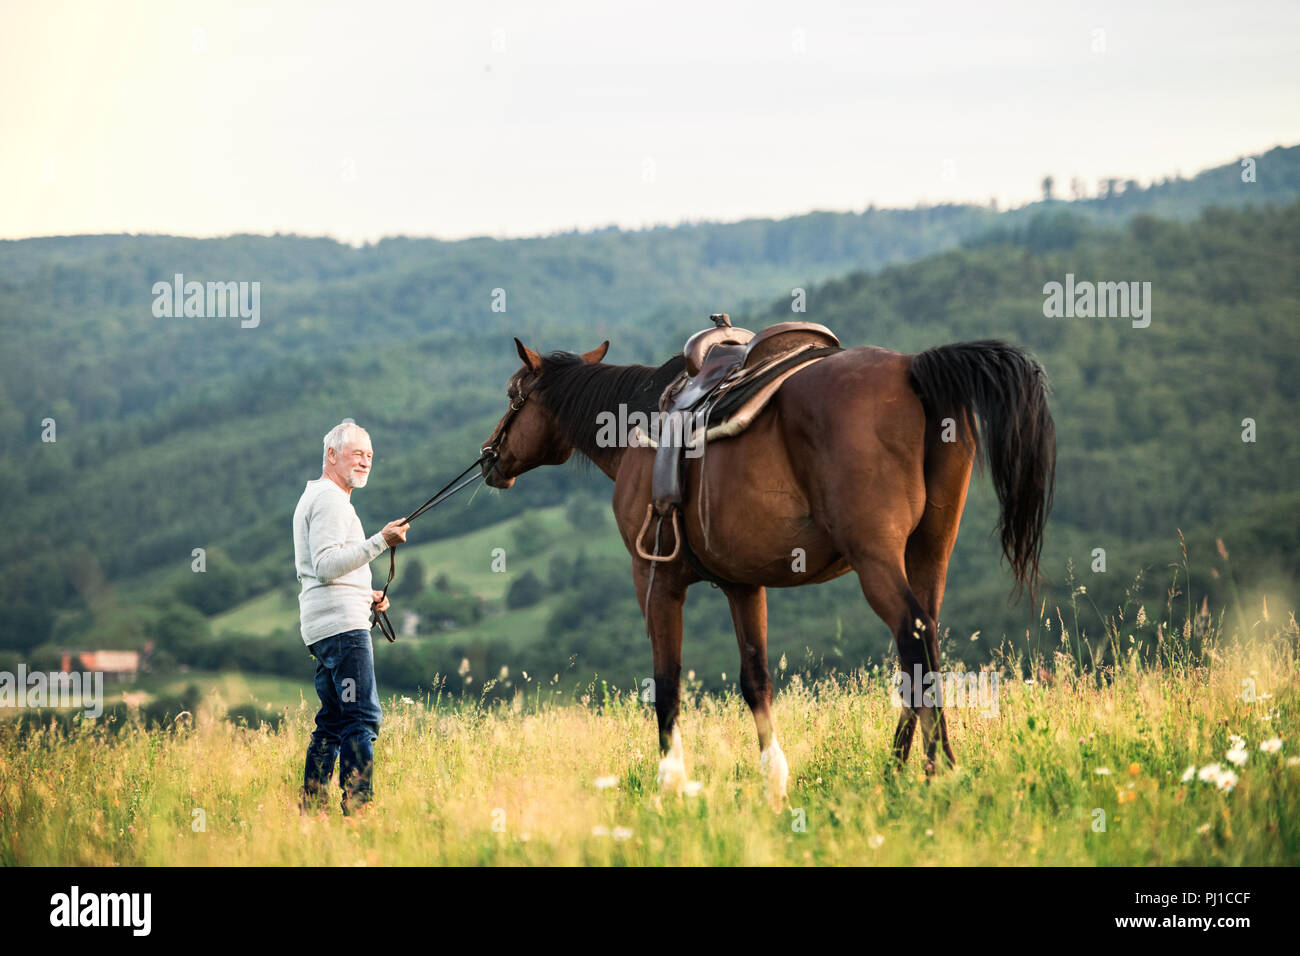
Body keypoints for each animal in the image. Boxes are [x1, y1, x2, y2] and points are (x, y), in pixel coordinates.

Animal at [483, 335, 1050, 806]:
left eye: (513, 396)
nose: (489, 458)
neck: (637, 430)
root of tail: (912, 367)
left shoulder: (655, 581)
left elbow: (667, 684)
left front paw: (670, 784)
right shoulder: (743, 585)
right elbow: (756, 680)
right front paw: (774, 781)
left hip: (877, 558)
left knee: (913, 639)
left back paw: (934, 773)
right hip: (930, 552)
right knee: (925, 642)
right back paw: (903, 770)